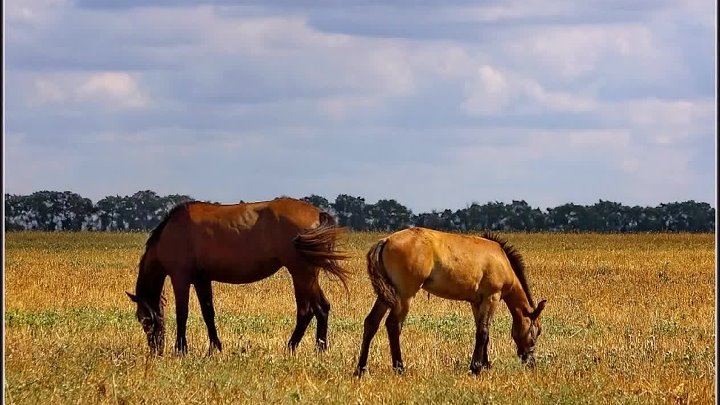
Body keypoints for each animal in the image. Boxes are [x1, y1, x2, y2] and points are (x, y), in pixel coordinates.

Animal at [125, 197, 351, 356]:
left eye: (144, 320)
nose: (155, 350)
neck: (172, 231)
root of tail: (318, 213)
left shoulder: (180, 277)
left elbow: (182, 314)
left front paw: (181, 349)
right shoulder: (201, 279)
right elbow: (208, 313)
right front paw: (215, 348)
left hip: (301, 273)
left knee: (308, 310)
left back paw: (293, 347)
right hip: (309, 274)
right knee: (321, 308)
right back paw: (318, 348)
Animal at [354, 227, 547, 376]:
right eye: (536, 331)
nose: (530, 361)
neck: (502, 261)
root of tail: (385, 240)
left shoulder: (477, 302)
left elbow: (482, 331)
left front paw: (484, 365)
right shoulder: (492, 297)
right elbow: (483, 332)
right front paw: (476, 368)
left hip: (387, 296)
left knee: (371, 323)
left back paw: (361, 369)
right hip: (404, 295)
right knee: (393, 325)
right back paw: (399, 368)